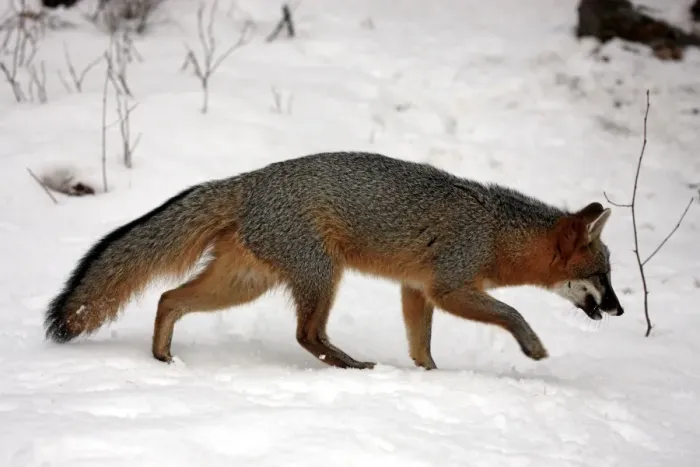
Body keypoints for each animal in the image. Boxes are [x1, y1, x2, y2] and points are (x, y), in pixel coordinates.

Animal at [44, 151, 624, 370]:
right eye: (602, 276)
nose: (620, 311)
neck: (496, 230)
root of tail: (248, 178)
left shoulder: (416, 290)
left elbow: (421, 347)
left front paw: (430, 377)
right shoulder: (449, 288)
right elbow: (513, 312)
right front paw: (533, 347)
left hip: (243, 284)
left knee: (168, 297)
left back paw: (163, 359)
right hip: (323, 275)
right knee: (307, 336)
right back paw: (352, 367)